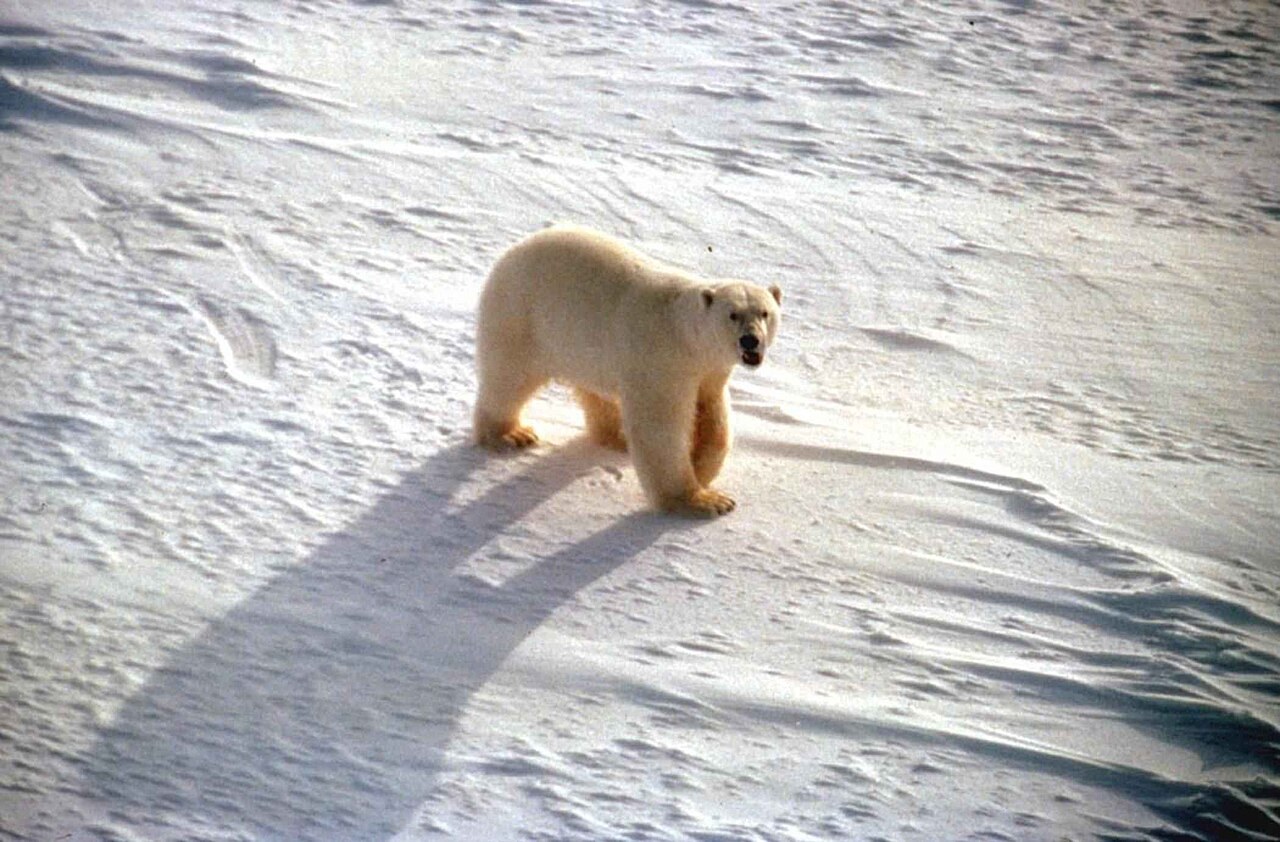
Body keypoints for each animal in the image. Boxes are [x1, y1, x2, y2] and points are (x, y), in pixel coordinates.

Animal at [472, 224, 782, 516]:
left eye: (765, 312)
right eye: (733, 315)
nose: (750, 340)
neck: (684, 332)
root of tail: (513, 251)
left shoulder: (709, 370)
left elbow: (713, 417)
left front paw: (701, 469)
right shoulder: (663, 361)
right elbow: (659, 427)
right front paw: (701, 500)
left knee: (596, 393)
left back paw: (617, 437)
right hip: (523, 316)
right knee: (510, 376)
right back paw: (510, 433)